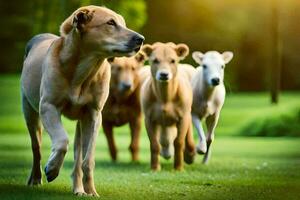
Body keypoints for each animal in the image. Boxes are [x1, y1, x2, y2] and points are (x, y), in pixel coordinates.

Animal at [20, 5, 144, 196]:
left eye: (123, 23)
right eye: (110, 23)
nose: (141, 39)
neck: (85, 69)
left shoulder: (94, 114)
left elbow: (88, 158)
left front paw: (91, 191)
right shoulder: (48, 106)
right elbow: (62, 140)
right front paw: (52, 168)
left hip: (81, 121)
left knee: (78, 156)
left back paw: (79, 188)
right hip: (29, 111)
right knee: (36, 147)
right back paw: (35, 178)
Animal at [140, 42, 195, 170]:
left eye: (173, 60)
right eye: (155, 60)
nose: (164, 74)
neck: (165, 98)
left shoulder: (183, 116)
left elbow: (179, 142)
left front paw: (178, 168)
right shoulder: (148, 118)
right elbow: (154, 144)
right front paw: (155, 168)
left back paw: (190, 154)